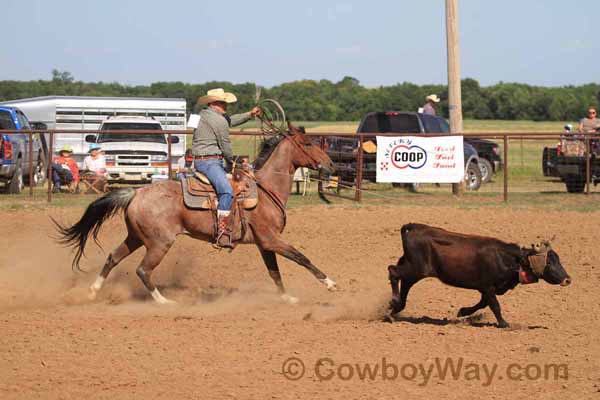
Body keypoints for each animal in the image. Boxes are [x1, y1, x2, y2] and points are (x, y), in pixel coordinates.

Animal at [54, 123, 338, 304]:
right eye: (308, 143)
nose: (331, 164)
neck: (266, 190)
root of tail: (136, 193)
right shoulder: (271, 239)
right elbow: (301, 257)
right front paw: (330, 283)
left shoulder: (264, 244)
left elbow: (275, 272)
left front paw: (287, 297)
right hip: (159, 243)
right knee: (143, 270)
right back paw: (164, 302)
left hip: (136, 237)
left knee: (113, 258)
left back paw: (92, 292)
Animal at [390, 223, 572, 326]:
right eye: (549, 262)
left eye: (558, 259)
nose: (567, 279)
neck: (509, 259)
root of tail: (414, 228)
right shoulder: (488, 286)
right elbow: (495, 305)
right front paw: (504, 323)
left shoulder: (487, 289)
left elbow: (483, 303)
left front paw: (463, 312)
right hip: (416, 269)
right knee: (393, 271)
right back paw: (394, 303)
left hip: (413, 270)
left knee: (404, 283)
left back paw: (395, 308)